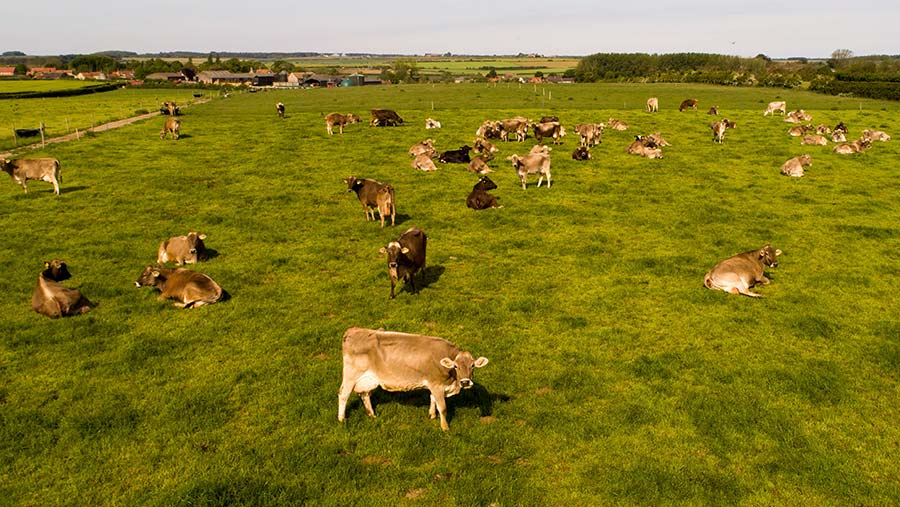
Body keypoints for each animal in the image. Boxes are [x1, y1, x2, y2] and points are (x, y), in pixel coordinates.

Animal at [340, 330, 492, 432]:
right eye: (456, 366)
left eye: (472, 366)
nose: (465, 382)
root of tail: (353, 331)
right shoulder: (437, 385)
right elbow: (442, 407)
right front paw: (445, 428)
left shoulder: (433, 384)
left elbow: (432, 399)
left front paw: (432, 415)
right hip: (351, 375)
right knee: (343, 395)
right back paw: (341, 419)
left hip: (368, 379)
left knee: (365, 394)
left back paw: (372, 415)